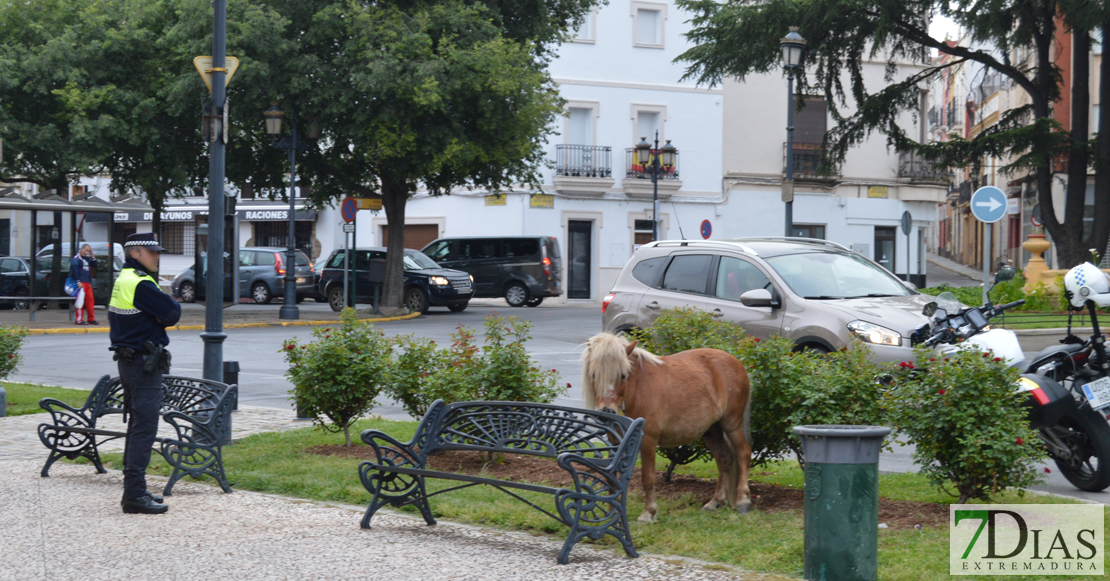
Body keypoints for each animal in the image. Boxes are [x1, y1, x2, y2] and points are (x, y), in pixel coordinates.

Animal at [581, 331, 754, 522]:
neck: (637, 389)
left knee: (743, 453)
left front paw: (649, 513)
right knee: (725, 459)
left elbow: (648, 478)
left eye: (623, 375)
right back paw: (715, 502)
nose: (607, 411)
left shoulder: (648, 441)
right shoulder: (616, 442)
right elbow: (612, 478)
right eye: (594, 374)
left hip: (731, 424)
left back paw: (743, 501)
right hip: (712, 430)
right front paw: (612, 511)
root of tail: (736, 362)